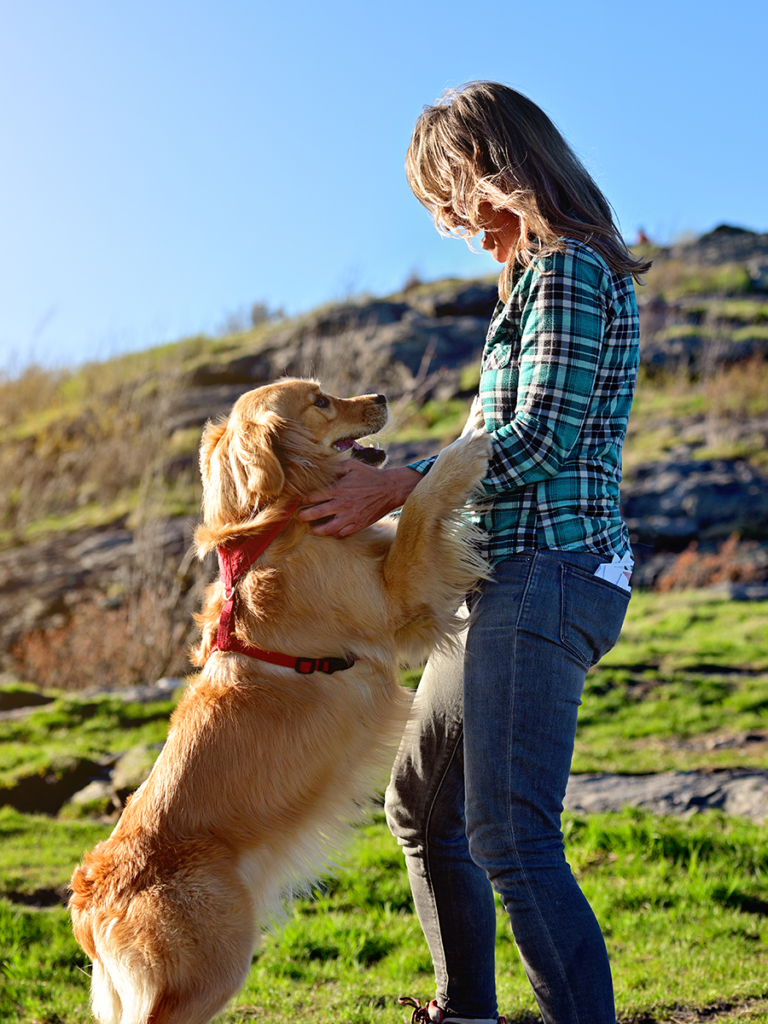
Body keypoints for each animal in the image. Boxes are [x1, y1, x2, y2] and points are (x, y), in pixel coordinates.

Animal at [69, 378, 489, 1024]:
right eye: (320, 401)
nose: (381, 397)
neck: (271, 524)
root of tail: (89, 905)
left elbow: (414, 517)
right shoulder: (399, 602)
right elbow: (420, 507)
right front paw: (465, 448)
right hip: (208, 970)